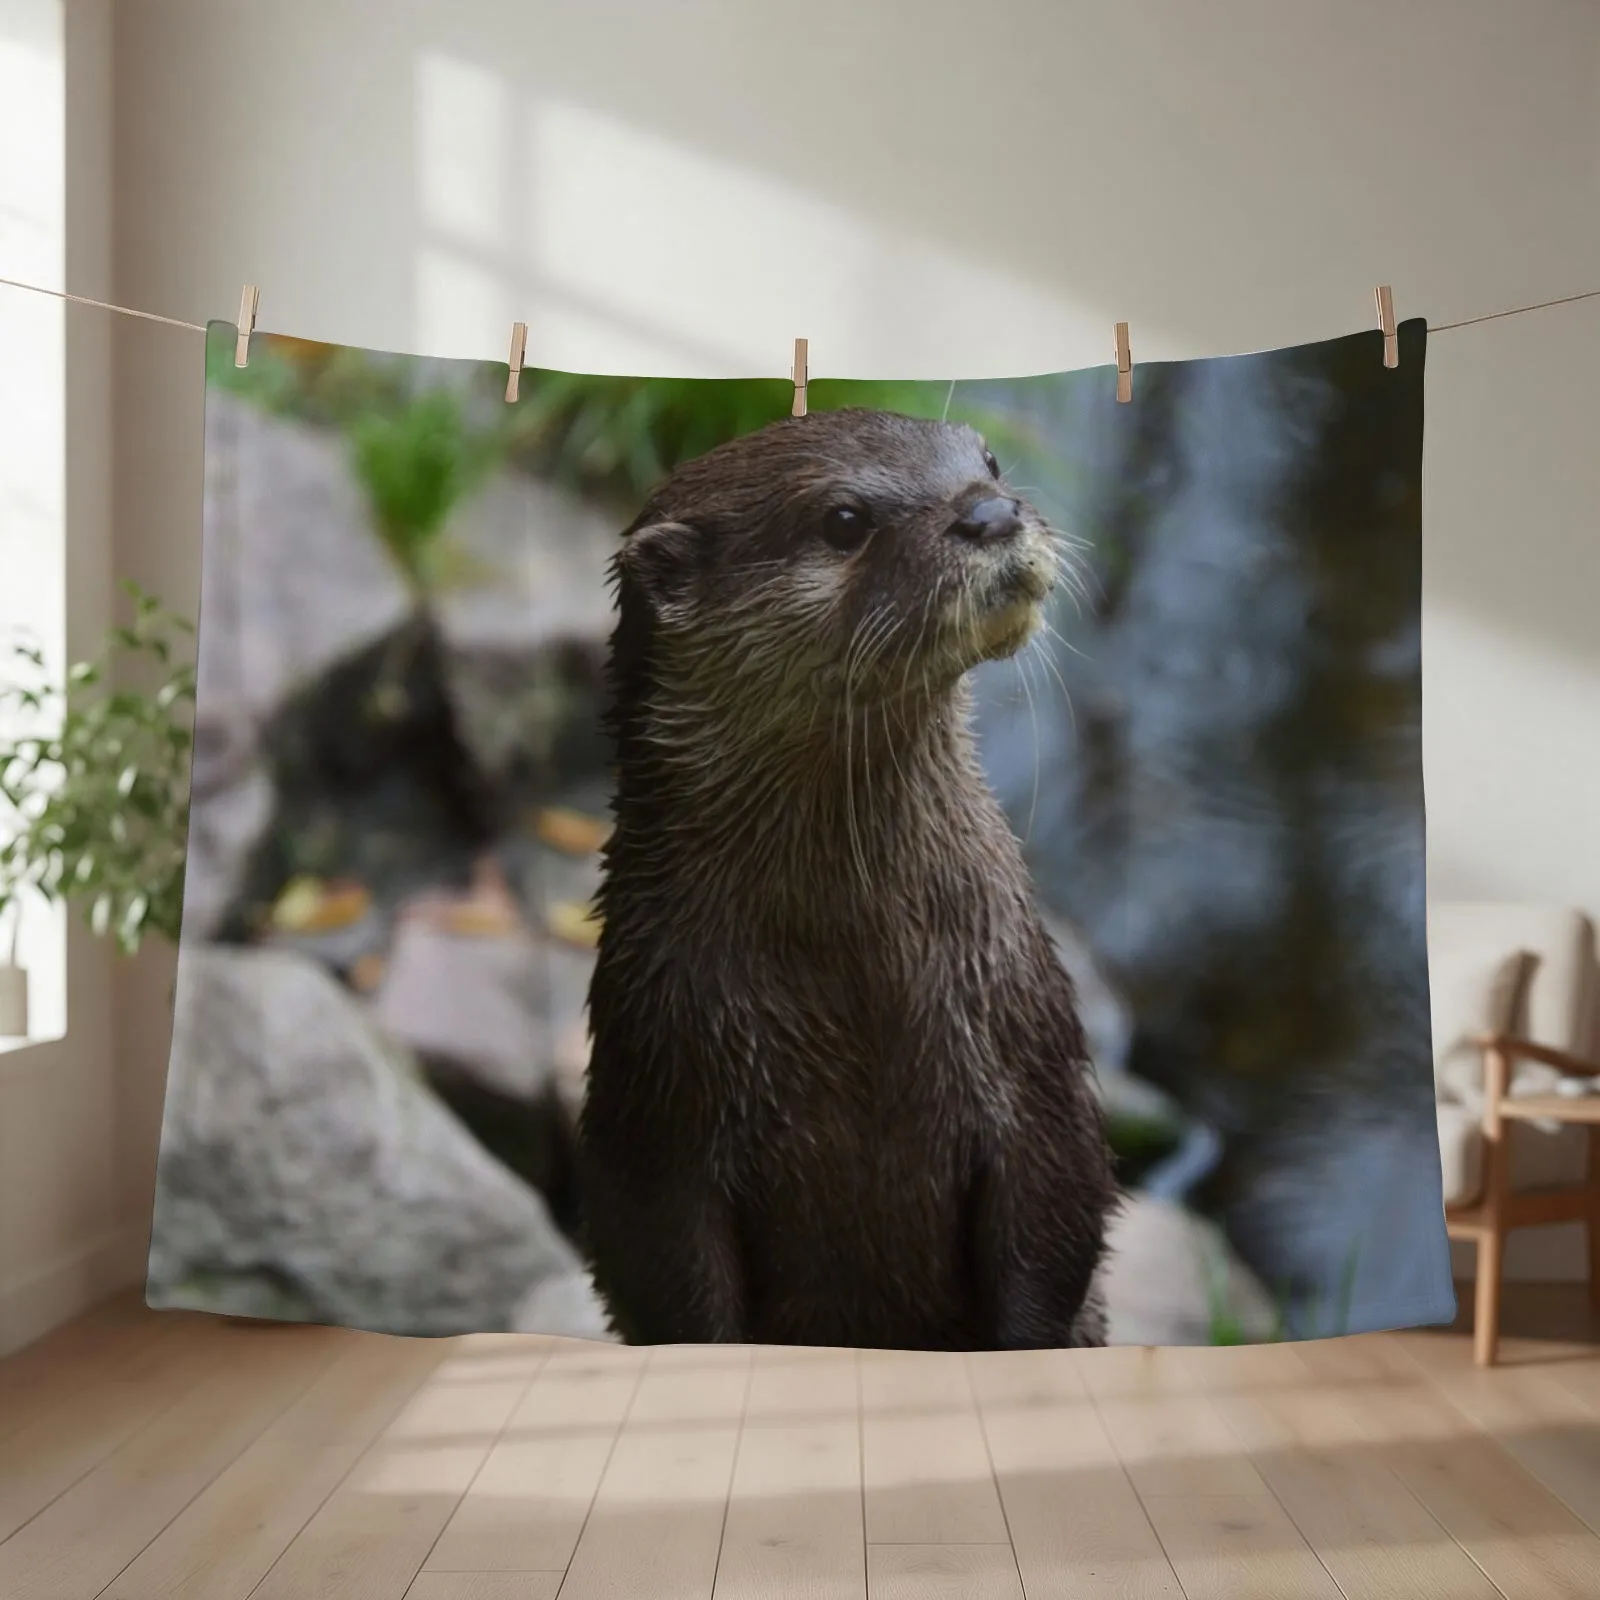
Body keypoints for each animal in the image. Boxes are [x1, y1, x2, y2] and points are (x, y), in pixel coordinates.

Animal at [579, 407, 1115, 1351]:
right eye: (844, 520)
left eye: (988, 461)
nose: (990, 514)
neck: (864, 979)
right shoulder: (654, 1108)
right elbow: (672, 1293)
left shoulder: (1037, 1071)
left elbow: (1055, 1238)